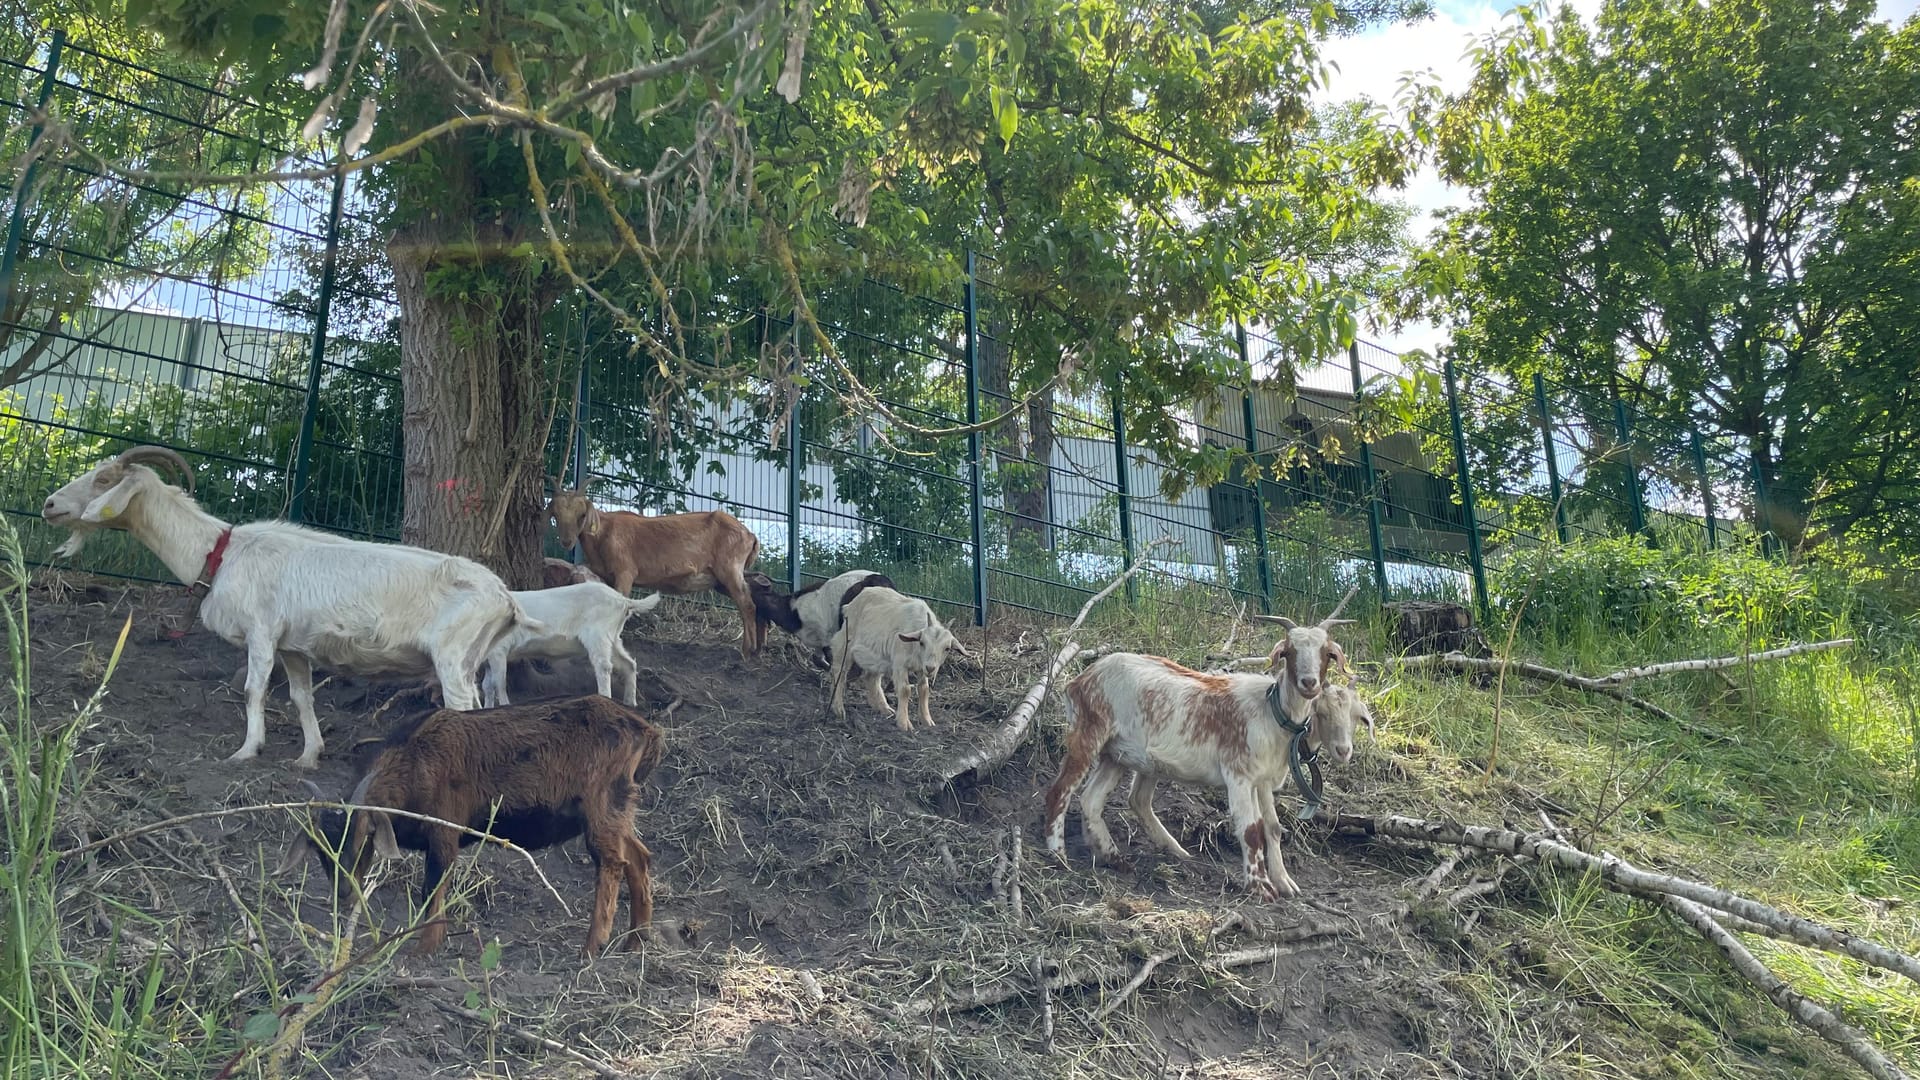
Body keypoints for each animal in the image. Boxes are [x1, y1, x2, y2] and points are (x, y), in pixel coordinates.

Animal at [278, 684, 668, 953]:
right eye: (319, 852)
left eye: (363, 841)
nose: (344, 893)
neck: (413, 761)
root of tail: (647, 731)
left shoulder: (444, 832)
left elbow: (432, 889)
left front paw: (424, 950)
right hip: (619, 806)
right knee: (639, 856)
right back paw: (636, 940)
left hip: (602, 804)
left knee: (613, 862)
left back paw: (591, 947)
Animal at [1044, 584, 1374, 895]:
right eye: (1289, 652)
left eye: (1327, 653)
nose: (1308, 682)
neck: (1272, 711)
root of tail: (1080, 679)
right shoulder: (1238, 774)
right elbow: (1251, 829)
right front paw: (1261, 888)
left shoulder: (1263, 780)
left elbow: (1273, 827)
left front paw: (1284, 882)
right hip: (1089, 732)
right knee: (1061, 790)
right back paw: (1058, 854)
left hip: (1117, 754)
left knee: (1091, 799)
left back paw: (1114, 857)